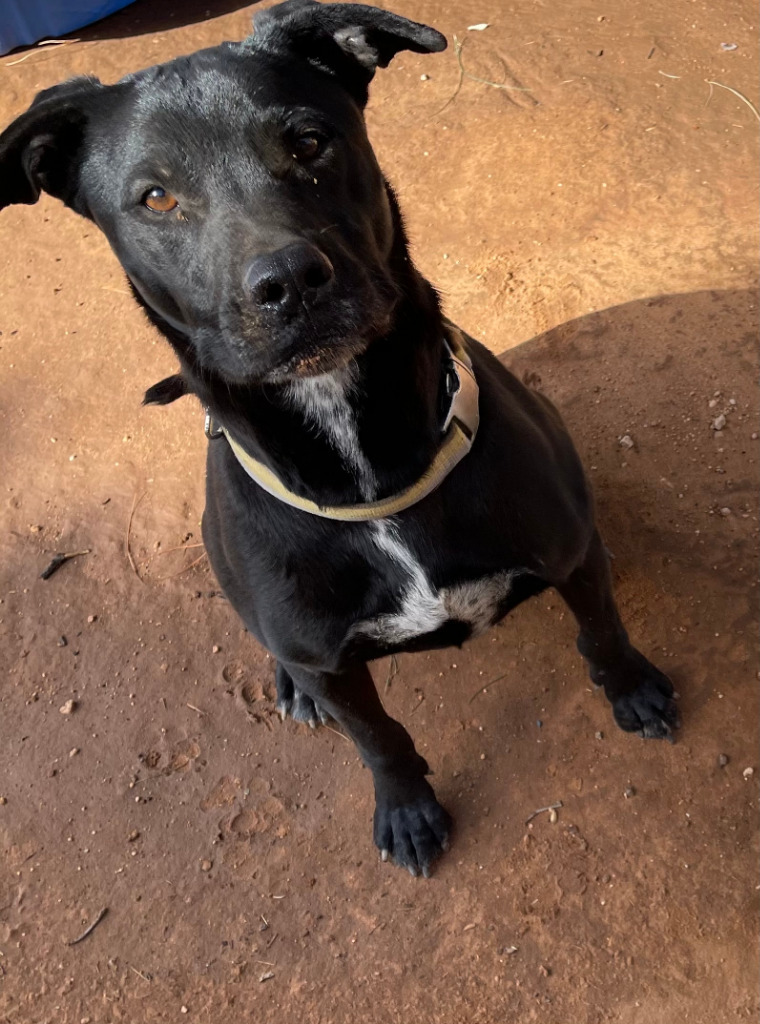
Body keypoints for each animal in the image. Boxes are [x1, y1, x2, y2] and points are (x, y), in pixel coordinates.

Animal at [0, 2, 680, 880]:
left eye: (309, 141)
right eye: (155, 196)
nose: (288, 280)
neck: (373, 485)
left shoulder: (570, 554)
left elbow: (601, 629)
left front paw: (632, 688)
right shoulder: (334, 665)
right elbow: (379, 737)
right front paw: (408, 809)